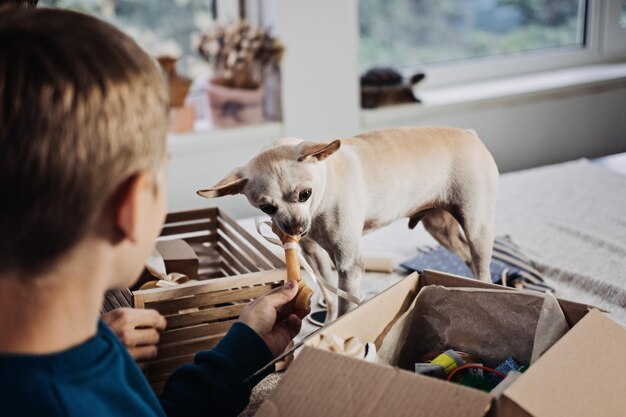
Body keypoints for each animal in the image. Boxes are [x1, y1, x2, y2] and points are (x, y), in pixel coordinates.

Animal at [196, 126, 498, 316]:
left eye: (305, 194)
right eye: (267, 207)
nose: (296, 228)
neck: (325, 189)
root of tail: (471, 135)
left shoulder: (349, 266)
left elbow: (344, 307)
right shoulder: (315, 256)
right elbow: (330, 299)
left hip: (476, 230)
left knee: (483, 268)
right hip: (440, 229)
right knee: (467, 259)